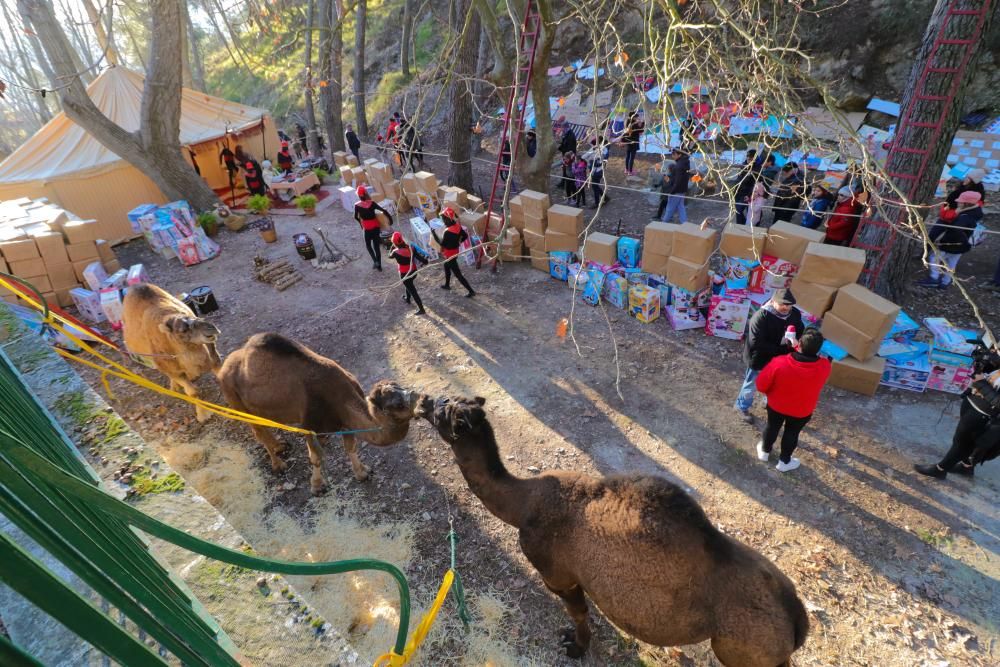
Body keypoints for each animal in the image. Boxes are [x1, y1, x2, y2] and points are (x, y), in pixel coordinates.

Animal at [121, 284, 221, 422]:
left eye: (194, 316)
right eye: (183, 330)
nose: (211, 327)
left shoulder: (212, 355)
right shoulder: (170, 367)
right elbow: (192, 392)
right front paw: (203, 415)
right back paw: (175, 387)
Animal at [217, 332, 420, 494]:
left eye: (405, 389)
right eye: (397, 404)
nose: (421, 400)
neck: (338, 396)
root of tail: (223, 368)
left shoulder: (345, 422)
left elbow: (351, 448)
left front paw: (362, 473)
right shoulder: (309, 424)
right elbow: (315, 458)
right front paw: (316, 486)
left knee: (264, 426)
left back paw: (280, 446)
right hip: (234, 398)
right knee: (257, 431)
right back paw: (278, 465)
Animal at [414, 394, 812, 664]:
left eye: (443, 411)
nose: (422, 400)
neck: (523, 504)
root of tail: (796, 619)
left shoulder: (557, 572)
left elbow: (578, 613)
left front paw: (576, 647)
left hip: (743, 648)